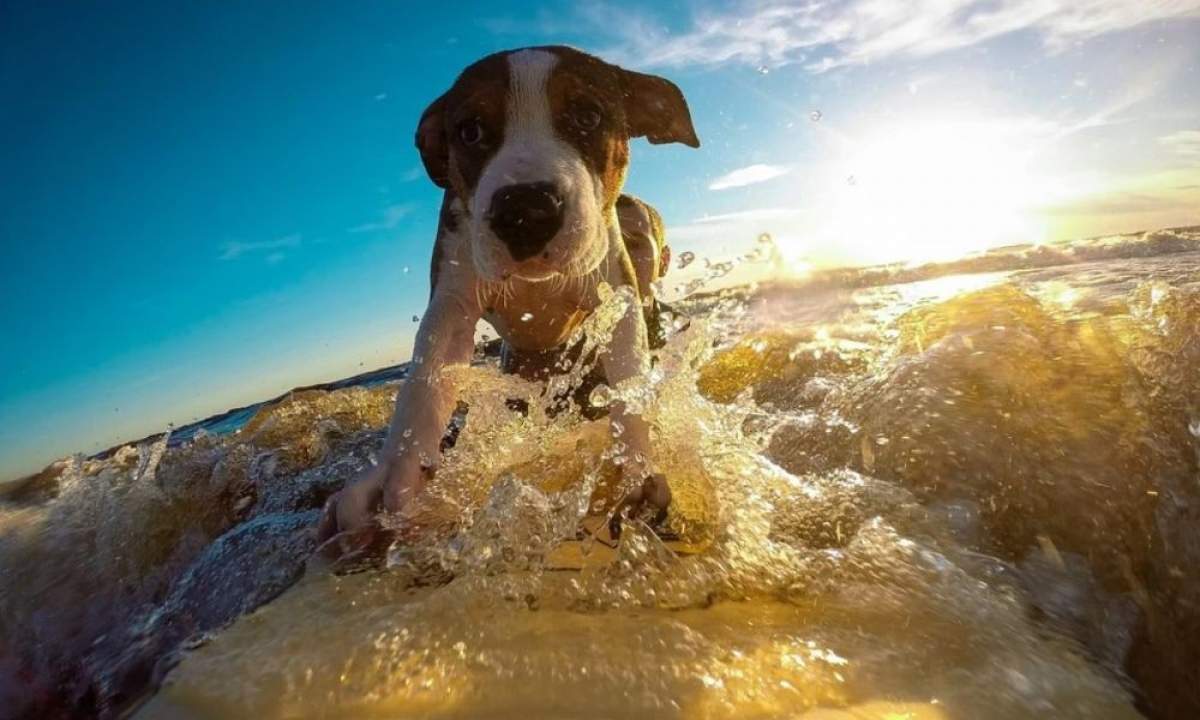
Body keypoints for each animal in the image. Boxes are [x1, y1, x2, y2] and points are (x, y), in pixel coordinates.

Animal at [319, 45, 700, 554]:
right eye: (470, 130)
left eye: (588, 116)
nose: (525, 210)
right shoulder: (452, 299)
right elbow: (424, 384)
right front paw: (396, 482)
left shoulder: (614, 293)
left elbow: (628, 379)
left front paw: (634, 469)